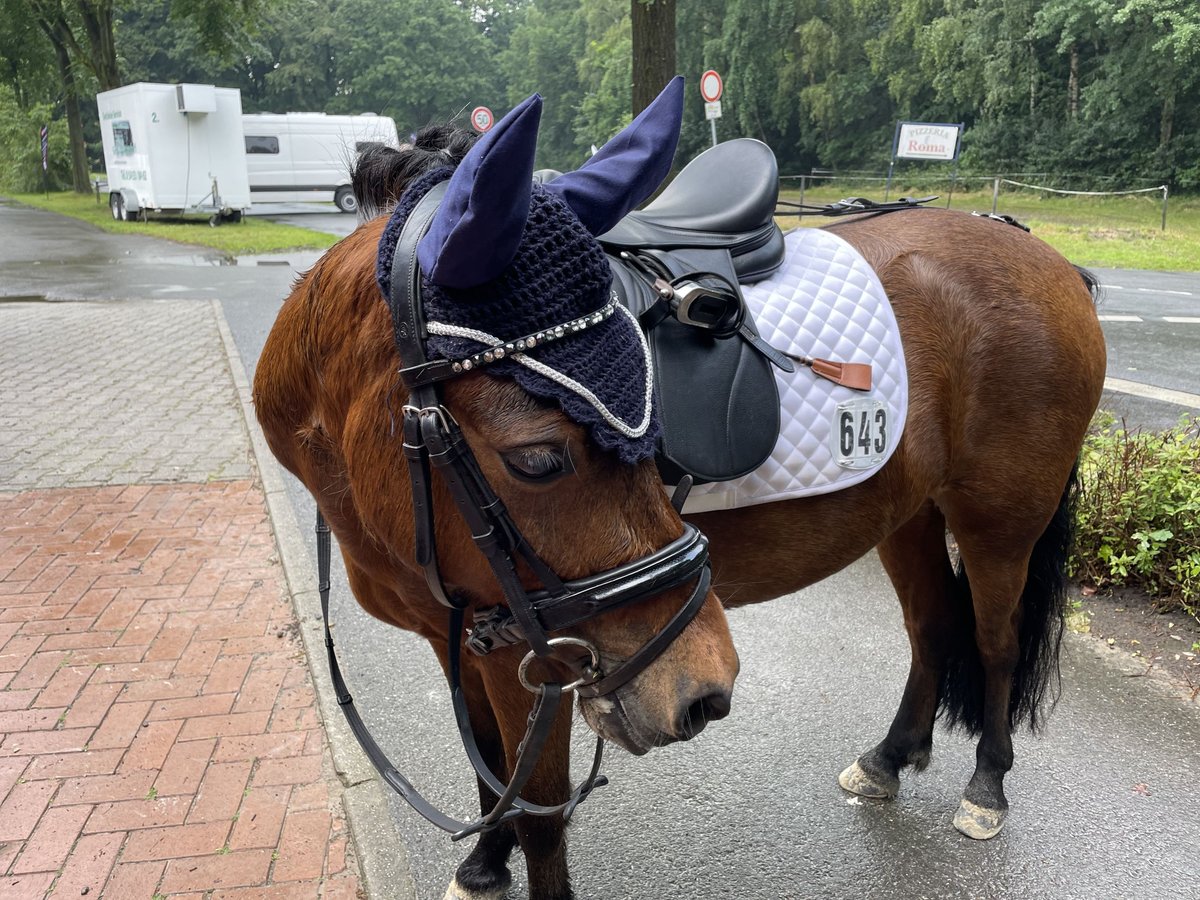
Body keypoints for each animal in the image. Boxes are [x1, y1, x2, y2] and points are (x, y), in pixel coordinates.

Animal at [250, 123, 1104, 897]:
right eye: (538, 457)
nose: (704, 688)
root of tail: (1048, 259)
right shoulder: (459, 636)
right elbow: (492, 772)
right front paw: (483, 866)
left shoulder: (536, 660)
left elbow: (537, 809)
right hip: (910, 513)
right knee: (931, 628)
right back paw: (889, 758)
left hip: (998, 520)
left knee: (994, 642)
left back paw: (986, 786)